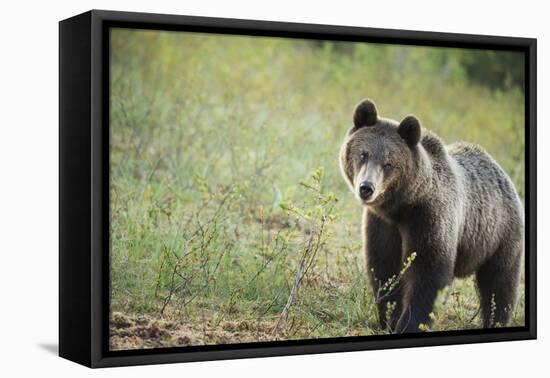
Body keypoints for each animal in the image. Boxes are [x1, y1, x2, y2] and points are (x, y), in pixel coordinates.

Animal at [340, 99, 528, 332]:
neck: (401, 207)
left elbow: (429, 274)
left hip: (499, 233)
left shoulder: (429, 217)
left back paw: (496, 319)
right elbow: (385, 268)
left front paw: (410, 323)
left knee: (499, 282)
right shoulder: (382, 225)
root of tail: (501, 172)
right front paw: (389, 317)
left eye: (389, 163)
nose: (366, 188)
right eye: (363, 154)